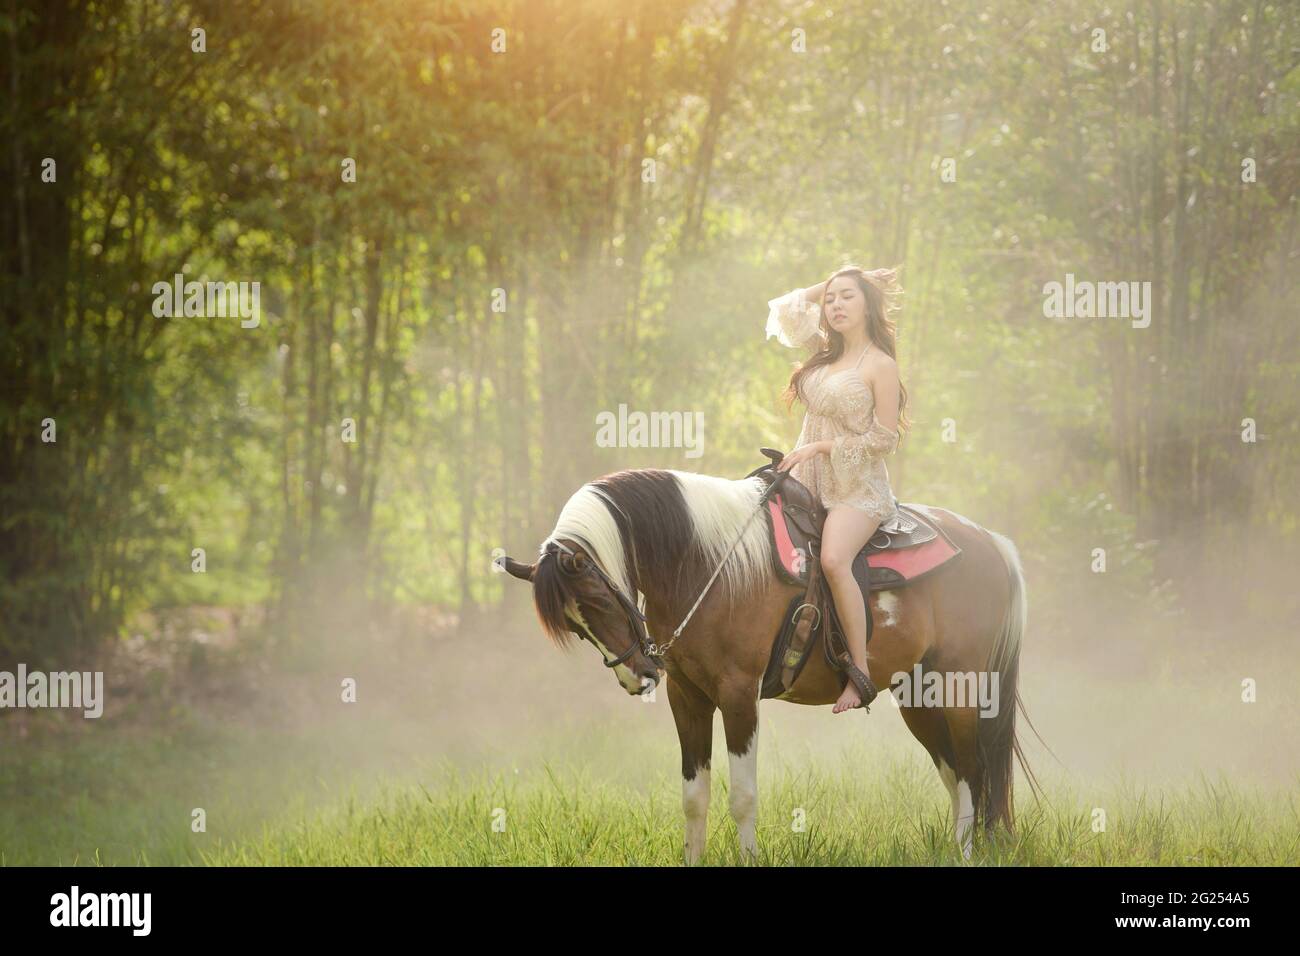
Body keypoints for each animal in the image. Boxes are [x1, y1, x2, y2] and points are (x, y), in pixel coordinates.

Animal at [499, 468, 1034, 863]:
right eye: (575, 626)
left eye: (596, 599)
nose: (638, 677)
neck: (707, 560)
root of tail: (992, 543)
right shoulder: (687, 698)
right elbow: (694, 798)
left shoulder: (739, 696)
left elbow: (742, 797)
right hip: (917, 696)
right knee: (953, 771)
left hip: (960, 689)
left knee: (971, 770)